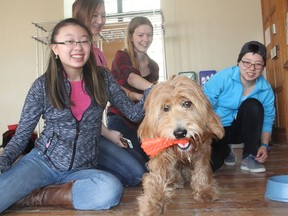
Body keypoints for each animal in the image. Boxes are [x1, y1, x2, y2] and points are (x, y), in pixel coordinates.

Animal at [137, 75, 225, 215]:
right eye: (165, 108)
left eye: (187, 104)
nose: (180, 133)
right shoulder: (162, 156)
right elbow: (155, 178)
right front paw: (151, 204)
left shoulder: (203, 150)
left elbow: (202, 169)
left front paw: (204, 190)